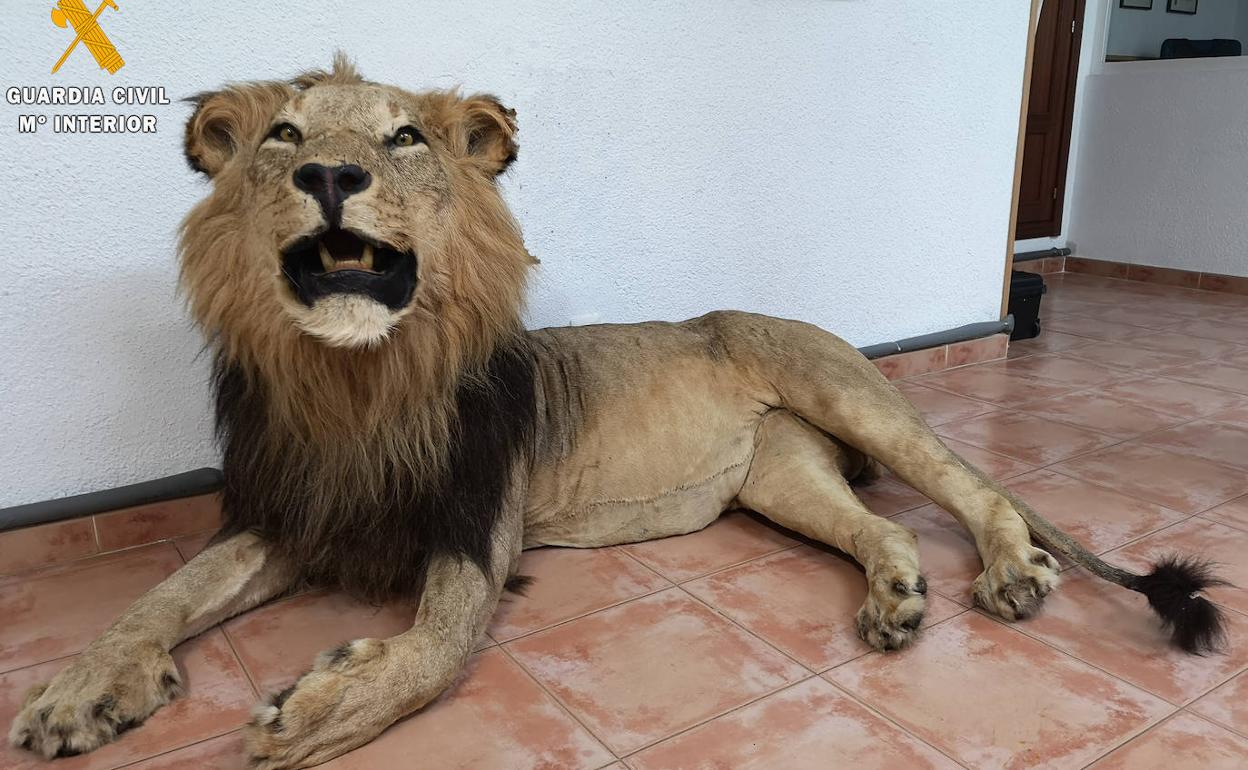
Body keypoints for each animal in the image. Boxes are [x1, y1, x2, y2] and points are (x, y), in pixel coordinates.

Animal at [9, 55, 1226, 769]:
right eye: (282, 136)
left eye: (405, 137)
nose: (332, 176)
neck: (360, 380)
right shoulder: (291, 513)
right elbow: (162, 595)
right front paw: (80, 689)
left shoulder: (475, 528)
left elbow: (436, 647)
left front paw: (311, 711)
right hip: (780, 475)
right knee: (882, 529)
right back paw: (895, 601)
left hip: (848, 395)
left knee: (976, 487)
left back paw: (1015, 571)